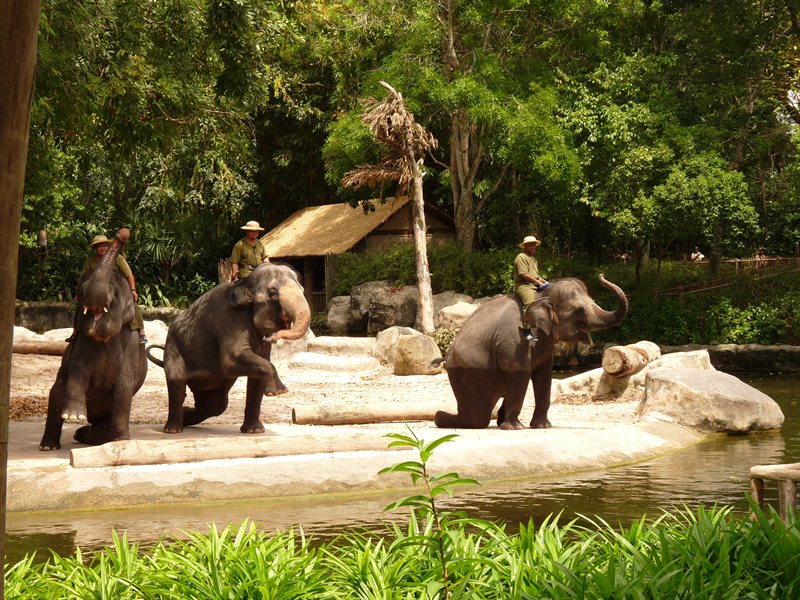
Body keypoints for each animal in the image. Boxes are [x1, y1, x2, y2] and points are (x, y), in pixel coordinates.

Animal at [40, 228, 147, 450]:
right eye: (80, 290)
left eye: (115, 295)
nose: (123, 233)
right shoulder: (81, 340)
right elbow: (77, 369)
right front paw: (73, 417)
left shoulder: (131, 344)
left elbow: (124, 384)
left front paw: (122, 442)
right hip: (57, 388)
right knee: (55, 398)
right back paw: (51, 445)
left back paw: (94, 438)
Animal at [146, 262, 311, 434]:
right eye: (273, 292)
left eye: (302, 290)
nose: (270, 338)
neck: (244, 282)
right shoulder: (229, 321)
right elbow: (231, 361)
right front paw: (279, 392)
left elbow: (257, 377)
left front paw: (254, 431)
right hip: (174, 347)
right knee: (177, 383)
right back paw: (173, 430)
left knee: (215, 404)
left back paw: (185, 416)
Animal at [434, 275, 628, 430]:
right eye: (578, 311)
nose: (601, 276)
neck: (541, 296)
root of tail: (447, 354)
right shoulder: (515, 340)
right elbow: (520, 372)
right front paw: (515, 428)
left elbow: (544, 375)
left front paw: (542, 426)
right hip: (467, 372)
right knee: (478, 416)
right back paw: (440, 416)